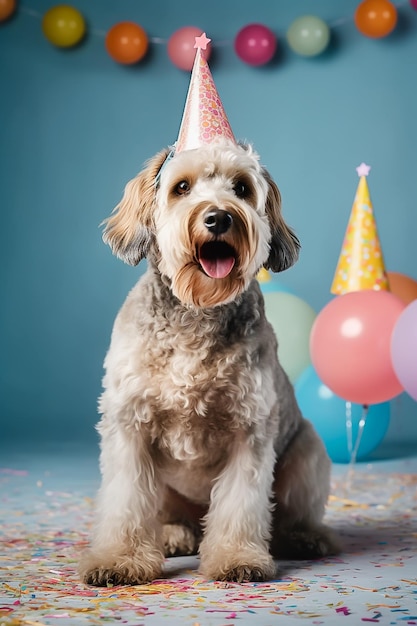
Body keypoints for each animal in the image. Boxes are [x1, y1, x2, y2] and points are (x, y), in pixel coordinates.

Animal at [79, 141, 338, 584]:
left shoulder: (249, 431)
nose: (219, 217)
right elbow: (126, 500)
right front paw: (119, 558)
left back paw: (305, 537)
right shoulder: (129, 425)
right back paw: (173, 535)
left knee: (290, 514)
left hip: (308, 453)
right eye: (181, 187)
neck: (197, 313)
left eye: (242, 188)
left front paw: (237, 557)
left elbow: (240, 503)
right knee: (170, 516)